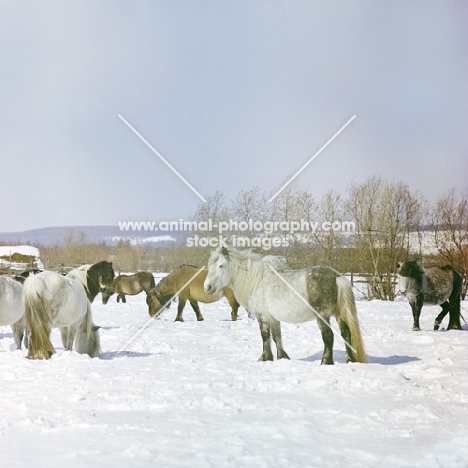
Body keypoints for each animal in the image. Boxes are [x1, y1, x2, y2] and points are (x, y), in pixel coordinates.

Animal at [203, 247, 368, 364]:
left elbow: (265, 337)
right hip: (339, 314)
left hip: (323, 315)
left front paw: (265, 358)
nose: (207, 287)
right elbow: (277, 337)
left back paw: (325, 362)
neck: (257, 280)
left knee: (328, 336)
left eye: (221, 265)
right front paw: (282, 357)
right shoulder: (273, 318)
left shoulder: (263, 316)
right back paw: (350, 360)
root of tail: (336, 276)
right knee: (346, 334)